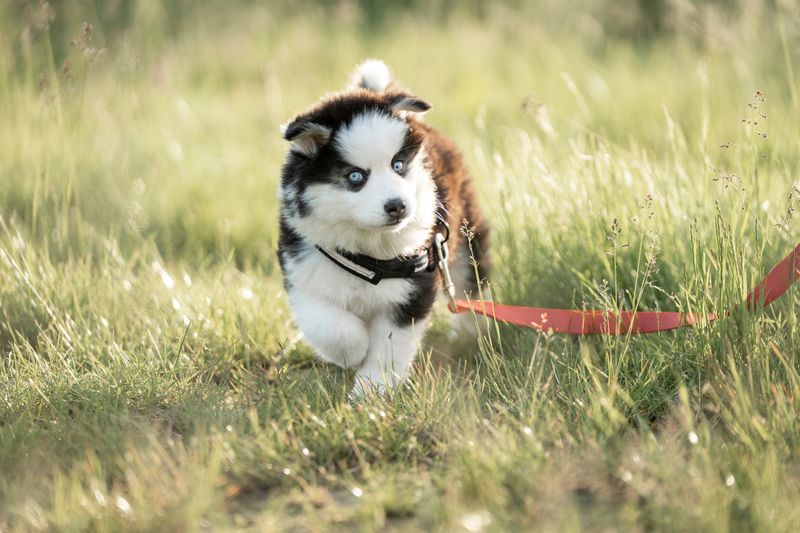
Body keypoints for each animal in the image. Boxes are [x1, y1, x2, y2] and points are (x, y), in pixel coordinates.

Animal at [278, 60, 488, 396]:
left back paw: (471, 334)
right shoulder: (305, 271)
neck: (368, 252)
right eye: (355, 177)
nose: (397, 206)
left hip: (461, 234)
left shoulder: (413, 285)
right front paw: (354, 351)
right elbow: (329, 324)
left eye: (398, 165)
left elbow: (389, 346)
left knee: (470, 280)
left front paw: (371, 391)